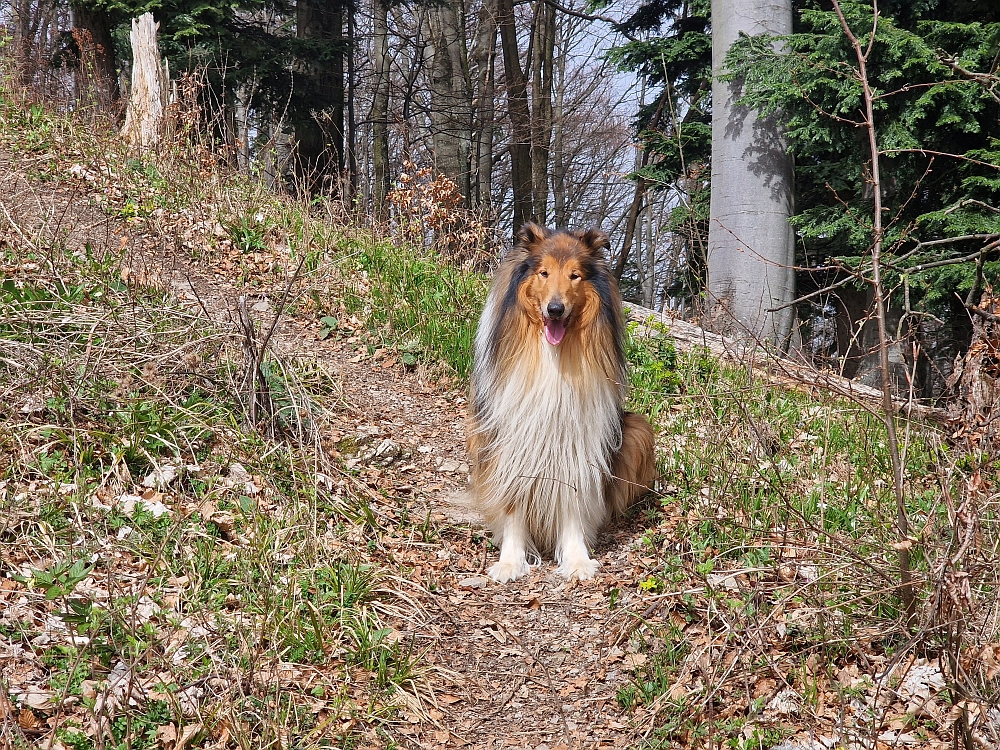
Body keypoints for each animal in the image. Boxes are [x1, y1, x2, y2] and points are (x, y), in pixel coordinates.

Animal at [466, 223, 656, 580]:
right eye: (543, 273)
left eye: (575, 276)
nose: (555, 310)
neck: (554, 354)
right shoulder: (510, 440)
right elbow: (512, 505)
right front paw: (510, 562)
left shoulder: (577, 443)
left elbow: (574, 502)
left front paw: (577, 560)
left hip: (638, 430)